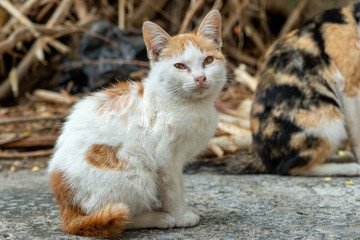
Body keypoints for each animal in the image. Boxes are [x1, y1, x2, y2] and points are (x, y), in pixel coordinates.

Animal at [47, 9, 226, 238]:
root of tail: (67, 209)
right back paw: (158, 217)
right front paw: (179, 214)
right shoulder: (165, 160)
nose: (200, 78)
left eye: (208, 60)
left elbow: (179, 185)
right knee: (122, 214)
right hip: (136, 170)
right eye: (180, 66)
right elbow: (173, 190)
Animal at [249, 0, 360, 175]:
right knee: (289, 168)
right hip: (327, 121)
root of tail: (261, 159)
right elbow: (357, 133)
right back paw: (349, 167)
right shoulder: (349, 86)